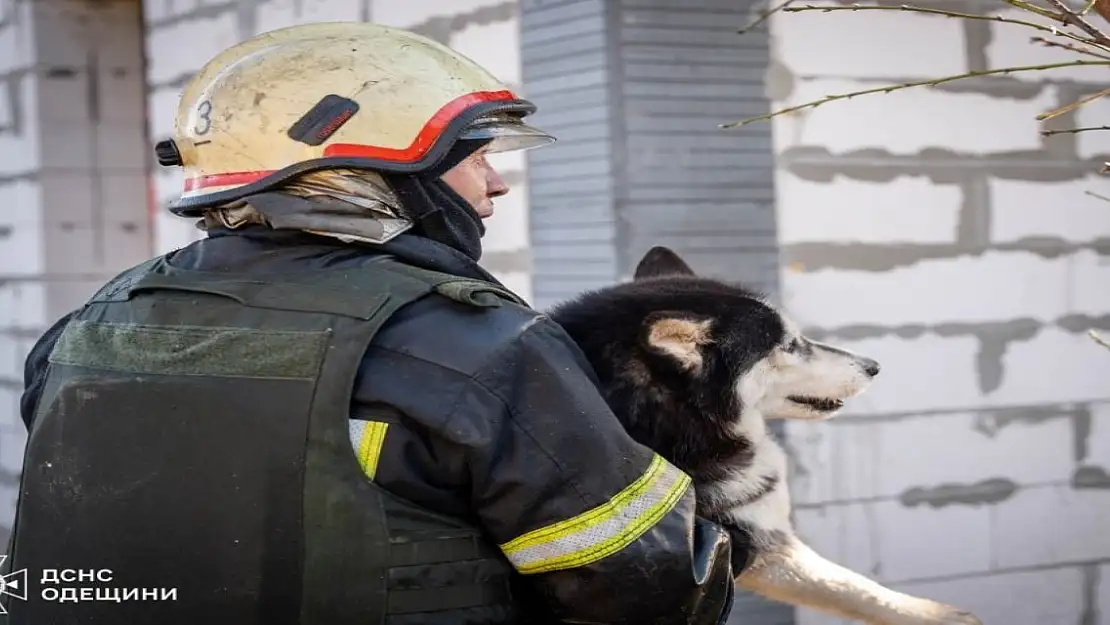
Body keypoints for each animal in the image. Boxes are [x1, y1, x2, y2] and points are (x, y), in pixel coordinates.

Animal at [546, 247, 981, 621]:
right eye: (789, 345)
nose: (872, 366)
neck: (676, 425)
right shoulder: (727, 548)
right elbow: (846, 583)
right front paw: (938, 615)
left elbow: (842, 585)